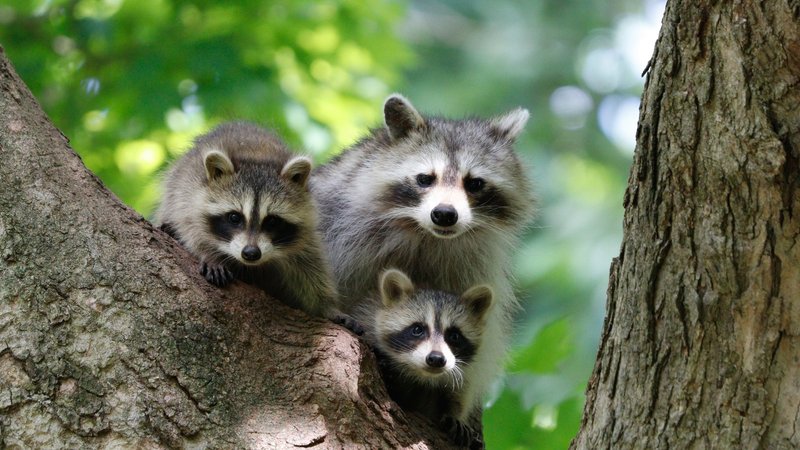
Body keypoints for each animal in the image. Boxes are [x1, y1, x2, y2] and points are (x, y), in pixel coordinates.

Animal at [155, 121, 337, 317]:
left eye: (272, 221)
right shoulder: (188, 195)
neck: (257, 157)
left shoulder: (305, 231)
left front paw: (326, 306)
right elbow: (190, 229)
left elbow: (310, 264)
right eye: (235, 217)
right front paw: (210, 253)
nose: (250, 253)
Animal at [312, 94, 534, 423]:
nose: (444, 214)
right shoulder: (337, 225)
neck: (425, 233)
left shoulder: (476, 265)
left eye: (474, 183)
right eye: (425, 179)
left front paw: (457, 401)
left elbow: (483, 335)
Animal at [349, 269, 493, 447]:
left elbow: (460, 392)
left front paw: (455, 414)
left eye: (454, 336)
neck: (420, 374)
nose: (436, 359)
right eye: (417, 329)